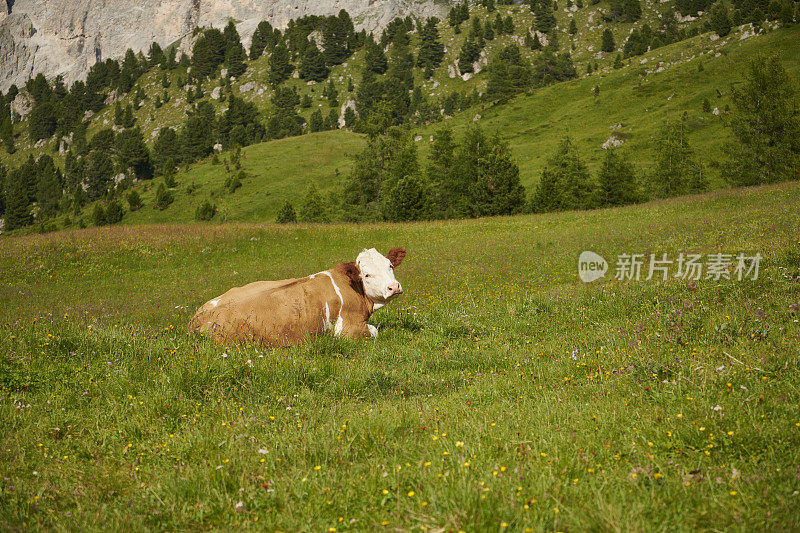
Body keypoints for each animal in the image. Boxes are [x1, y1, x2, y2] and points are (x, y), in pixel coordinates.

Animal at [188, 246, 406, 344]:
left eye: (390, 265)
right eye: (367, 274)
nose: (393, 287)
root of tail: (197, 317)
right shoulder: (347, 330)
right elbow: (375, 330)